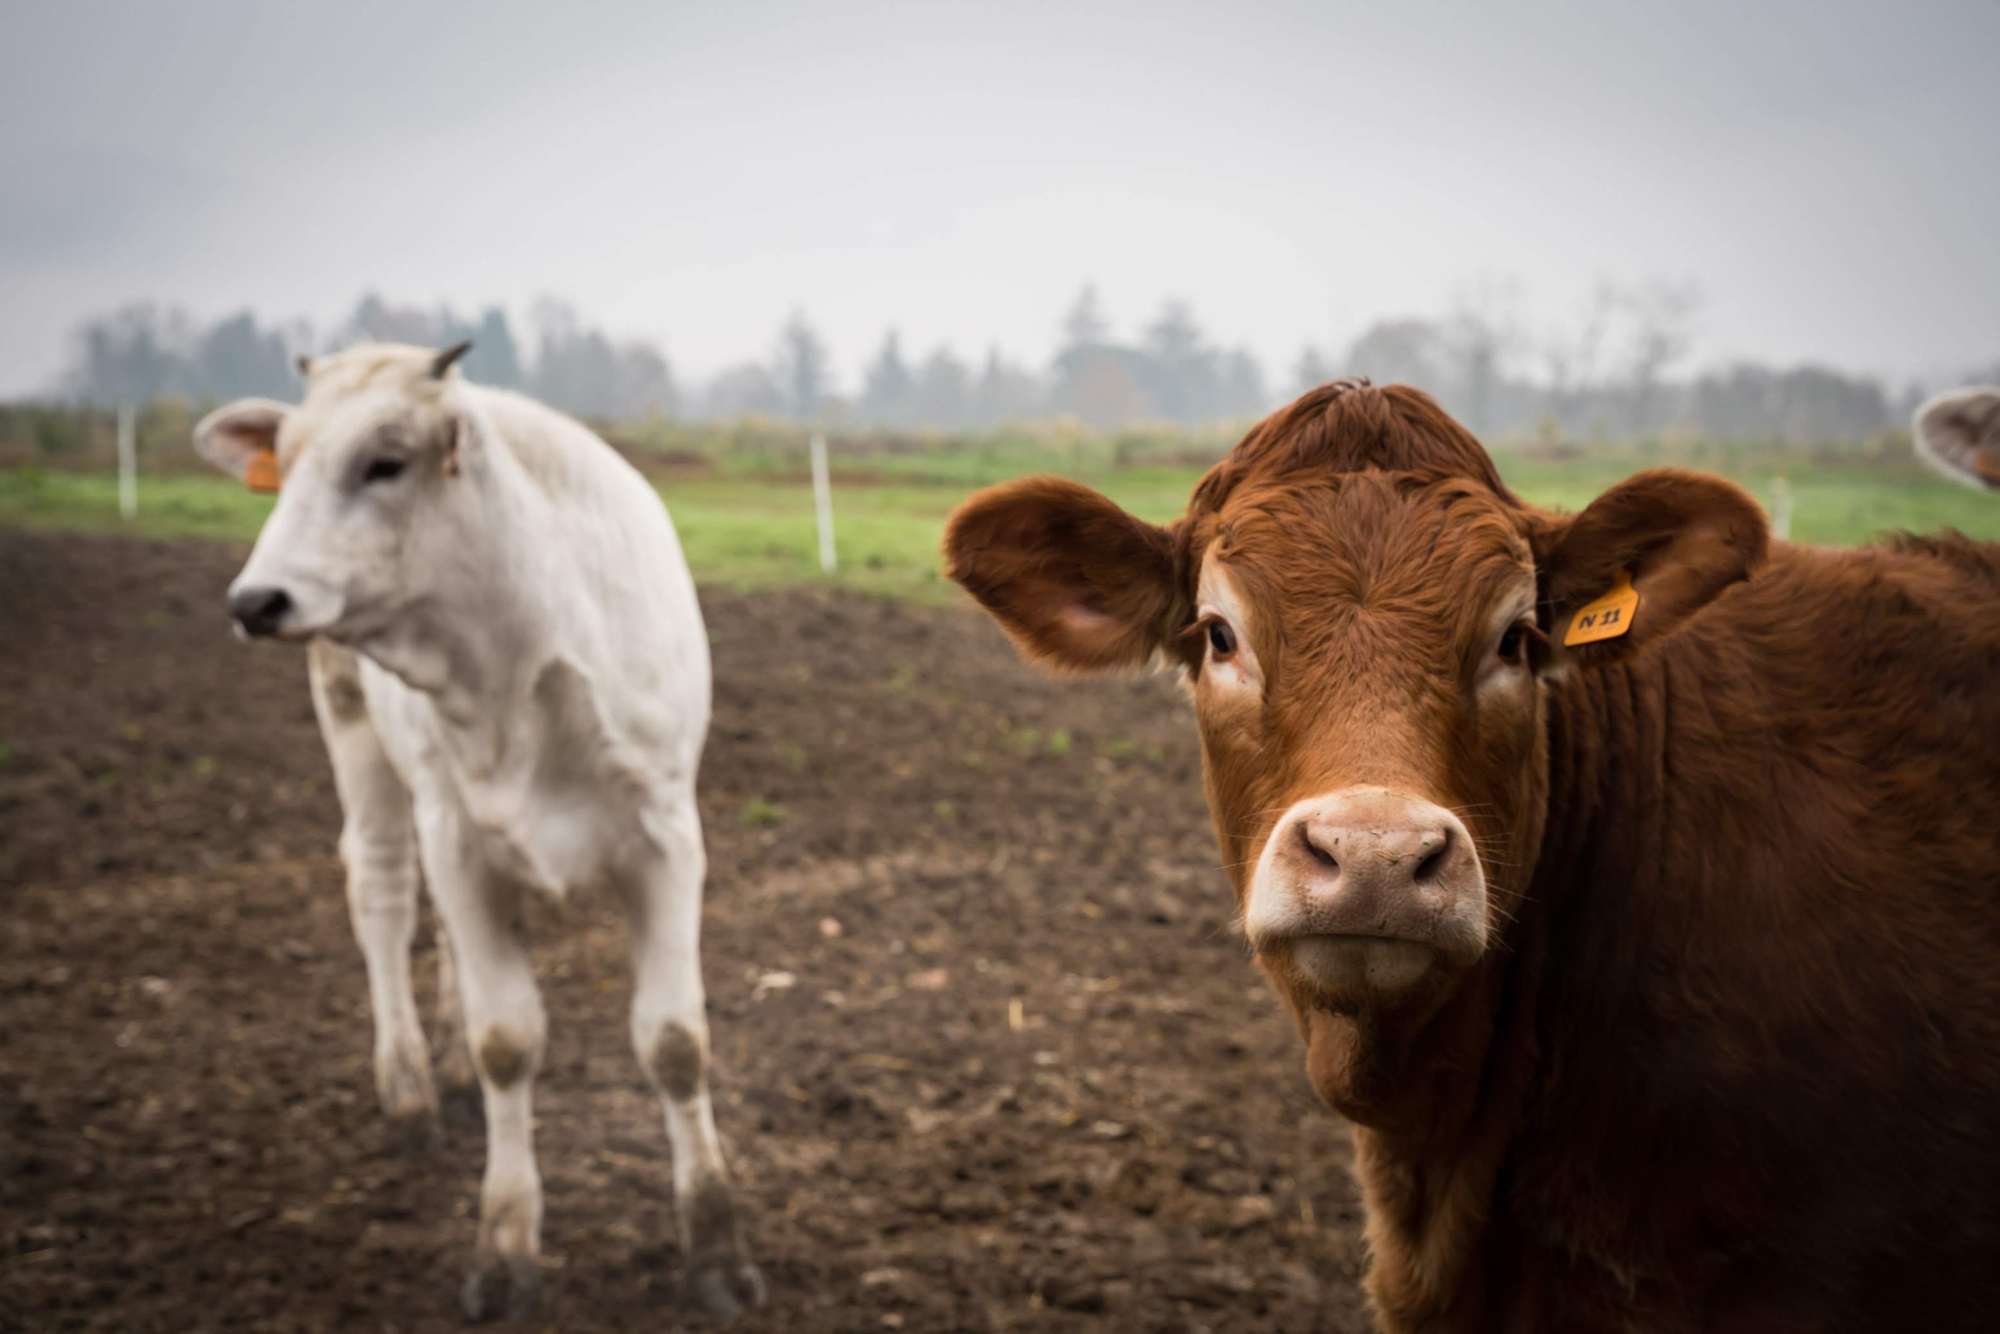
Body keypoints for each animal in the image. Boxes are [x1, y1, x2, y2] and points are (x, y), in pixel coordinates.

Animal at [191, 340, 764, 1320]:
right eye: (287, 463)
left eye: (384, 462)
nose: (254, 599)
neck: (516, 655)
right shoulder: (460, 842)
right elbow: (509, 1043)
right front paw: (505, 1250)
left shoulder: (665, 840)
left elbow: (675, 1043)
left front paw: (716, 1249)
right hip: (359, 737)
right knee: (382, 894)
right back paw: (413, 1089)